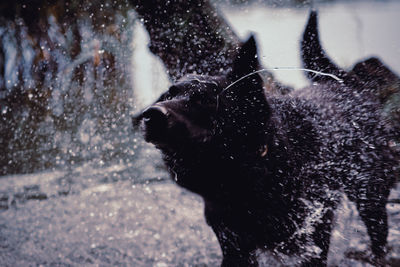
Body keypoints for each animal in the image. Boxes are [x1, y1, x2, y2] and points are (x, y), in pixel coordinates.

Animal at [134, 11, 396, 266]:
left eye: (205, 99)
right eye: (168, 95)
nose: (151, 114)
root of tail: (343, 85)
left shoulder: (312, 237)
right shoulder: (234, 244)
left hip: (370, 192)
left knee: (378, 231)